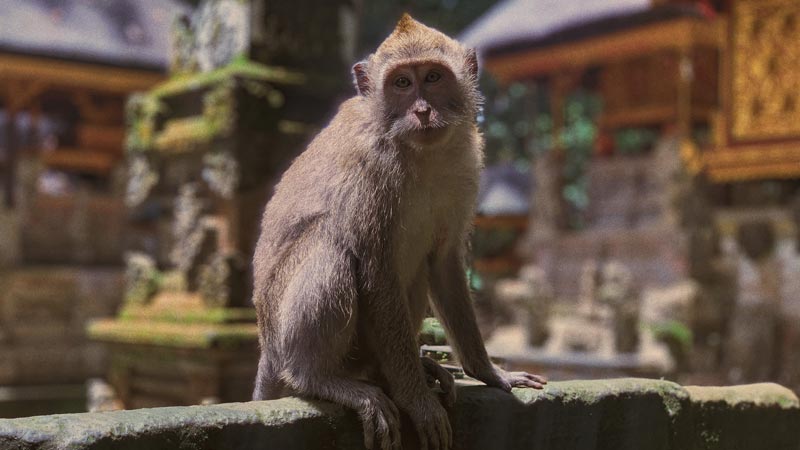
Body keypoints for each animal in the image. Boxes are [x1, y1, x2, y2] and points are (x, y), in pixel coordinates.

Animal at [253, 13, 548, 450]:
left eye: (433, 77)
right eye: (402, 83)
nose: (423, 111)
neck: (419, 153)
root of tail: (265, 345)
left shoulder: (467, 166)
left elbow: (444, 264)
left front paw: (489, 372)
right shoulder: (370, 169)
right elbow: (376, 270)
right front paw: (417, 401)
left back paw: (400, 371)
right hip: (283, 329)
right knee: (331, 245)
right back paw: (322, 379)